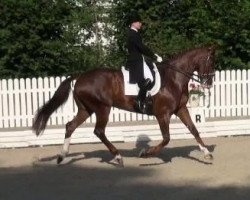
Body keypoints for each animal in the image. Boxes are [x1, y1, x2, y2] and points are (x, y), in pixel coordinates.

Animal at [32, 45, 217, 166]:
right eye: (211, 62)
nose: (208, 84)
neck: (173, 78)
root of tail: (80, 76)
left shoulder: (180, 109)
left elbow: (194, 129)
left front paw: (207, 153)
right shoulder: (162, 114)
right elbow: (166, 138)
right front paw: (145, 153)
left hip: (86, 109)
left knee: (70, 126)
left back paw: (62, 156)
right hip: (102, 108)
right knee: (99, 131)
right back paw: (118, 157)